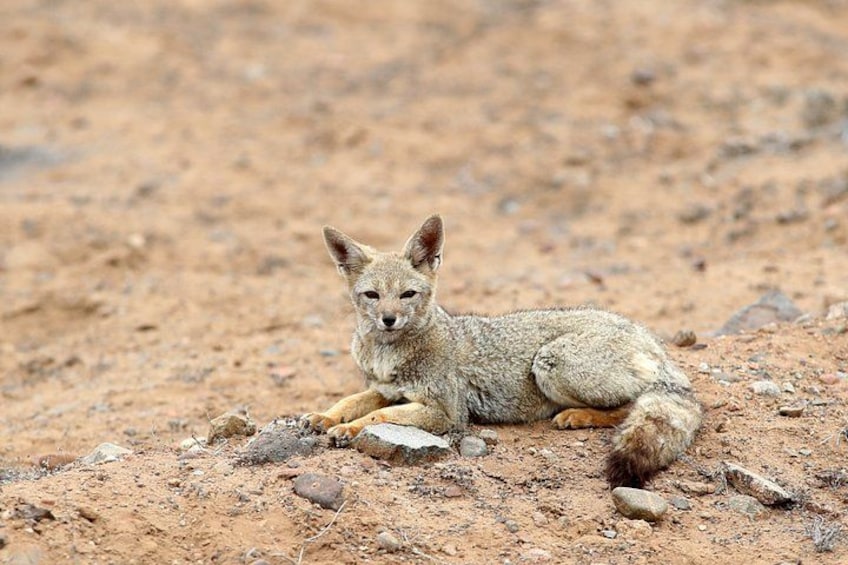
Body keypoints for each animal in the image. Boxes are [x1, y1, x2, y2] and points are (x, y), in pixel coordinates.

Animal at [301, 214, 702, 488]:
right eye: (372, 295)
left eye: (407, 295)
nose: (388, 319)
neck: (388, 355)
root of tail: (650, 338)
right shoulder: (382, 389)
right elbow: (351, 401)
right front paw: (325, 417)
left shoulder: (447, 412)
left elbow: (378, 416)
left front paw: (349, 429)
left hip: (550, 361)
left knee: (630, 405)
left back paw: (578, 415)